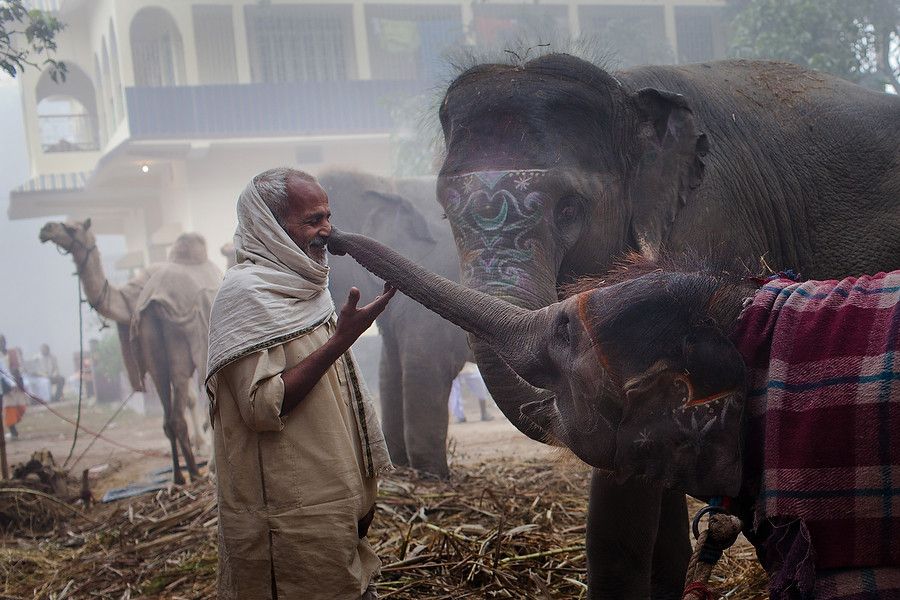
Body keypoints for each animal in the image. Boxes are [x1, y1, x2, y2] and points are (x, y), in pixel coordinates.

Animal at [39, 218, 223, 486]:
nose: (46, 229)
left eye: (72, 227)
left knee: (178, 411)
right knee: (176, 413)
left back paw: (190, 470)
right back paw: (188, 472)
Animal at [318, 170, 472, 478]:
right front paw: (400, 466)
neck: (385, 184)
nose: (334, 237)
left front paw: (432, 476)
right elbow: (389, 370)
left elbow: (424, 367)